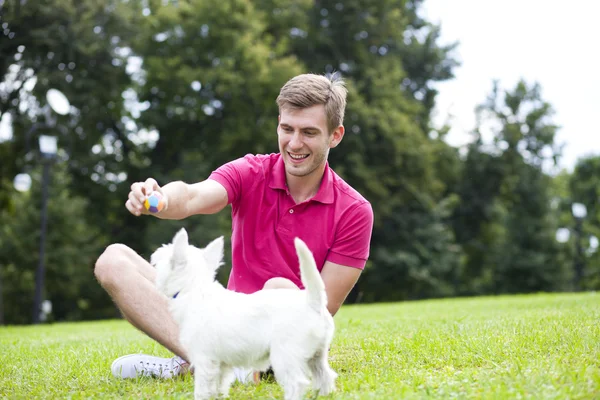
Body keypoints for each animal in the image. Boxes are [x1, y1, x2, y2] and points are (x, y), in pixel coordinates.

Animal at [150, 228, 338, 400]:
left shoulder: (204, 360)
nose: (152, 260)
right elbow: (219, 387)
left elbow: (202, 390)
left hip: (285, 355)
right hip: (317, 355)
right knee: (325, 376)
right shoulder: (222, 365)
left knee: (297, 383)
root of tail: (312, 301)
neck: (194, 288)